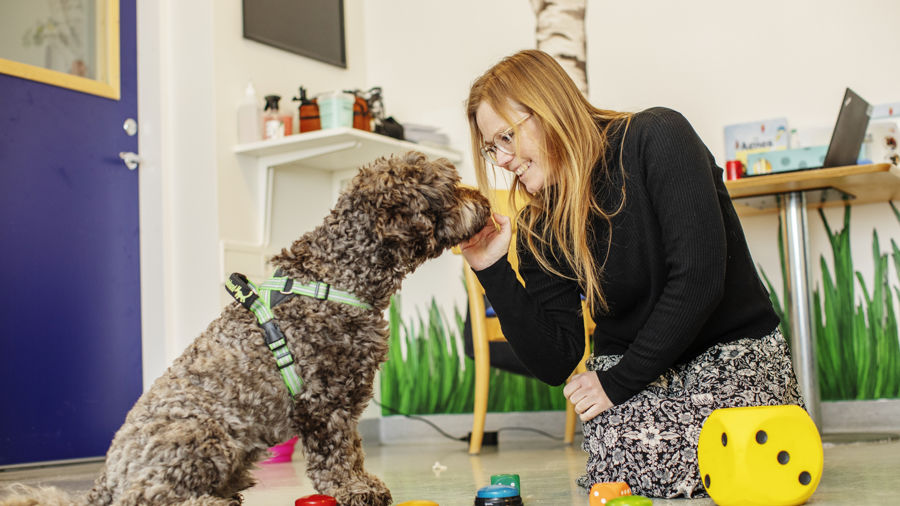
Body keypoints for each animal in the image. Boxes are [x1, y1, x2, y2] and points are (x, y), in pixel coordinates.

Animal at [1, 151, 490, 506]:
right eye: (449, 187)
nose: (486, 201)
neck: (336, 275)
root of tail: (104, 478)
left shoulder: (345, 401)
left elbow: (354, 448)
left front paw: (363, 481)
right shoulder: (323, 403)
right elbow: (336, 455)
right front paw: (353, 489)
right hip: (202, 432)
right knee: (143, 498)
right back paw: (206, 503)